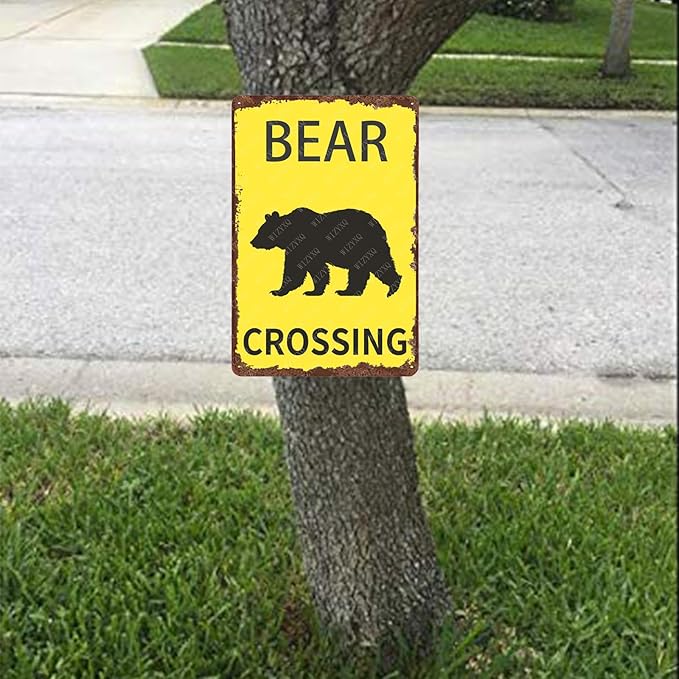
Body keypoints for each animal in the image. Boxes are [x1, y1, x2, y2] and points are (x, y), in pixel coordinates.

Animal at [249, 207, 402, 297]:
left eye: (261, 231)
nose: (252, 242)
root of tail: (379, 225)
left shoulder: (303, 244)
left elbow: (299, 269)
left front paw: (279, 291)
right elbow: (306, 268)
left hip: (367, 245)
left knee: (380, 264)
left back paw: (392, 288)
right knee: (359, 271)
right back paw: (348, 291)